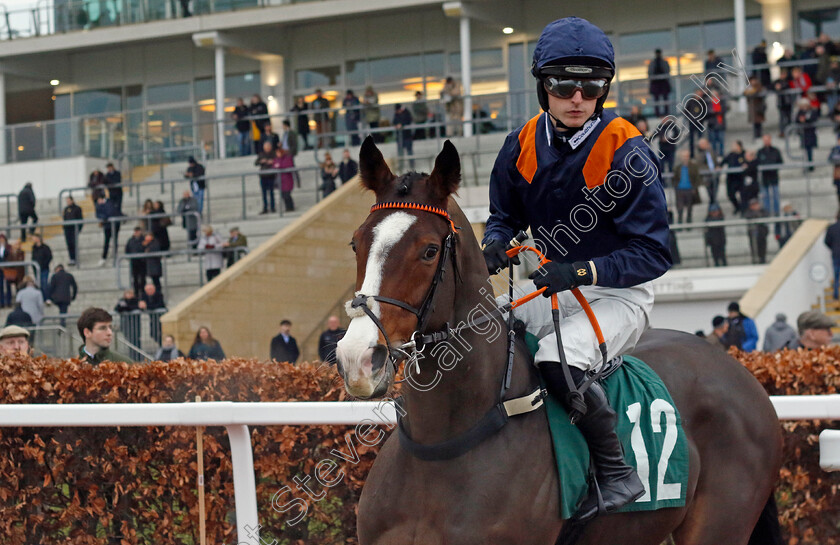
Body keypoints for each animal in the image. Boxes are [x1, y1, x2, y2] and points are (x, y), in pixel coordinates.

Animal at [338, 137, 784, 544]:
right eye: (356, 242)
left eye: (430, 250)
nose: (358, 358)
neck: (443, 445)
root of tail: (741, 374)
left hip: (720, 525)